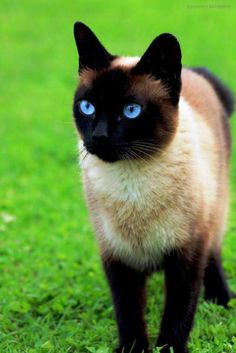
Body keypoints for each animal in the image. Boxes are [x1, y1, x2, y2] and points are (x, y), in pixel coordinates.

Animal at [72, 22, 234, 352]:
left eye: (131, 110)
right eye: (88, 107)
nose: (99, 137)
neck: (131, 186)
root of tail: (197, 72)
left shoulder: (186, 255)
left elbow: (178, 313)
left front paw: (169, 348)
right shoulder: (118, 257)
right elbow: (128, 311)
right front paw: (132, 348)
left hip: (216, 211)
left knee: (214, 254)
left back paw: (222, 300)